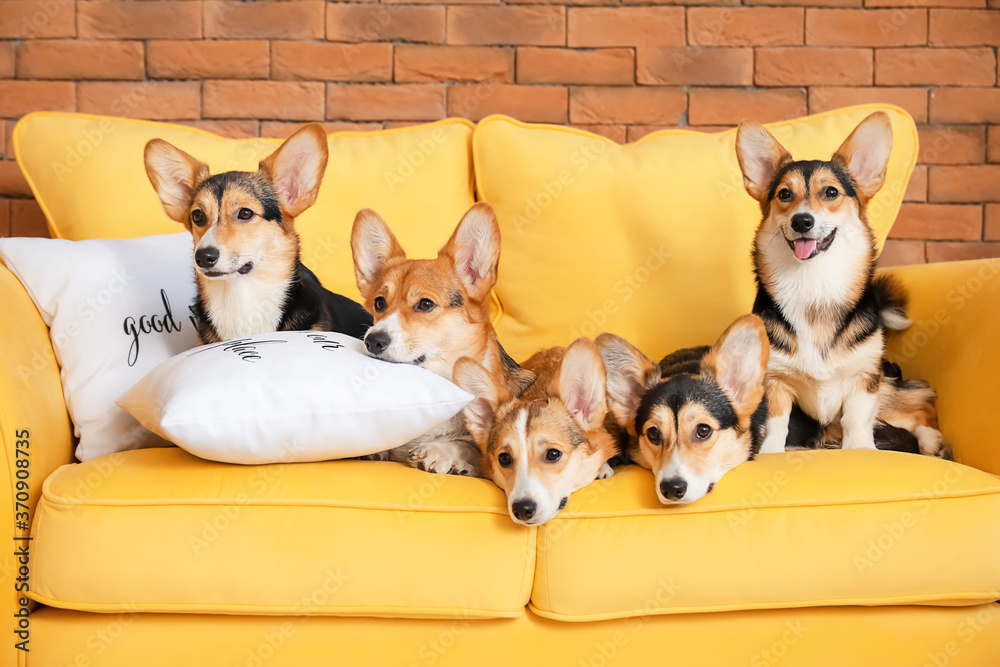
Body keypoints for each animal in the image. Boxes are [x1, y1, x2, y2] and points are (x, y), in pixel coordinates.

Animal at [740, 115, 948, 460]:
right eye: (784, 194)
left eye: (830, 192)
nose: (802, 221)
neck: (814, 281)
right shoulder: (775, 380)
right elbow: (775, 424)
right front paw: (771, 455)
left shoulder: (864, 378)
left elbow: (857, 419)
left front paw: (860, 449)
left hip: (886, 386)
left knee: (922, 405)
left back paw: (934, 442)